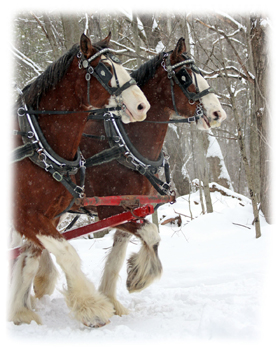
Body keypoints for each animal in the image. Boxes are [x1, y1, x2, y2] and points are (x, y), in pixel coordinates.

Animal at [9, 32, 151, 328]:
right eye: (105, 69)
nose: (142, 105)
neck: (37, 145)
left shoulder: (48, 216)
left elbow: (29, 260)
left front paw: (20, 311)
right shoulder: (25, 214)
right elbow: (67, 254)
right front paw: (92, 307)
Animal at [34, 37, 228, 316]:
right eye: (184, 75)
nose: (217, 113)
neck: (124, 143)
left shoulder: (130, 208)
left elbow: (117, 257)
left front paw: (114, 299)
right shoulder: (109, 210)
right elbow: (152, 234)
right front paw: (139, 278)